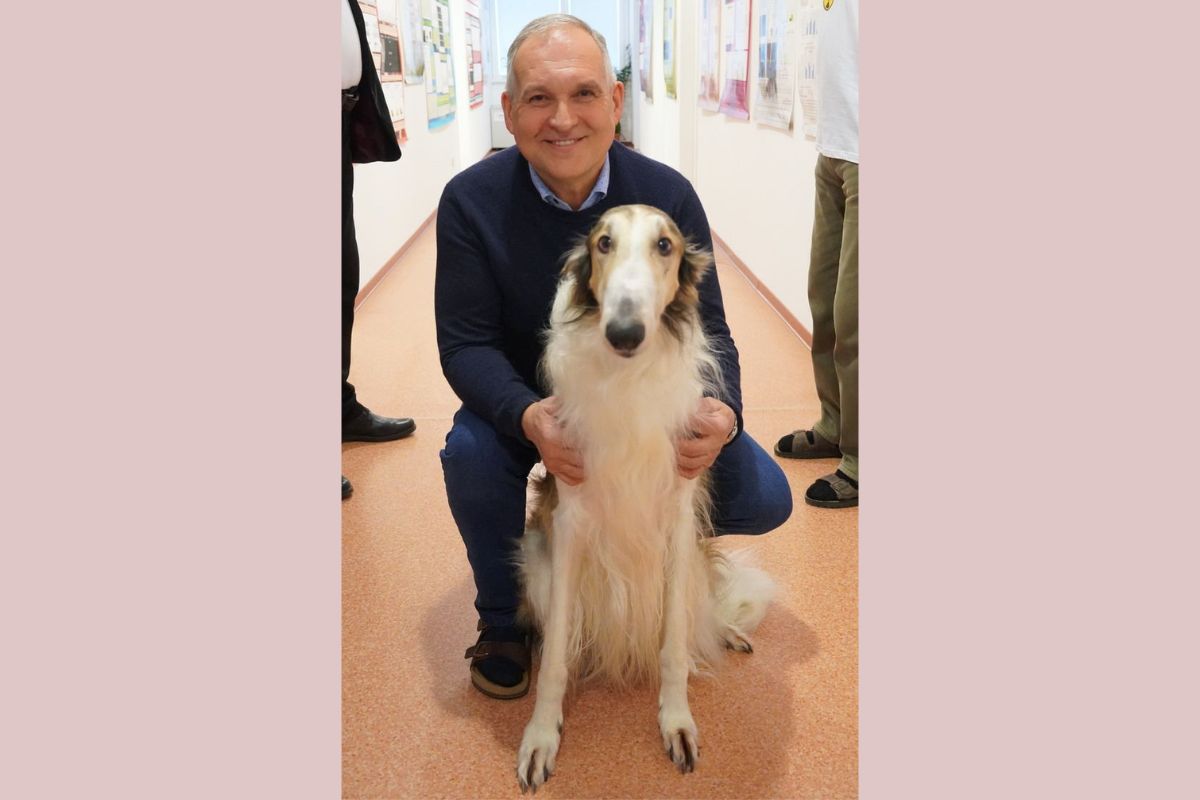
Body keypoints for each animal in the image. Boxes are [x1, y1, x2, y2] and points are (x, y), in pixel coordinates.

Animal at [514, 204, 775, 791]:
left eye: (664, 245)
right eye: (604, 243)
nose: (624, 332)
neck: (628, 376)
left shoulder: (677, 520)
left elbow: (675, 643)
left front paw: (676, 721)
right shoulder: (568, 524)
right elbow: (556, 657)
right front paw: (541, 736)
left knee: (701, 611)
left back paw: (726, 632)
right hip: (536, 563)